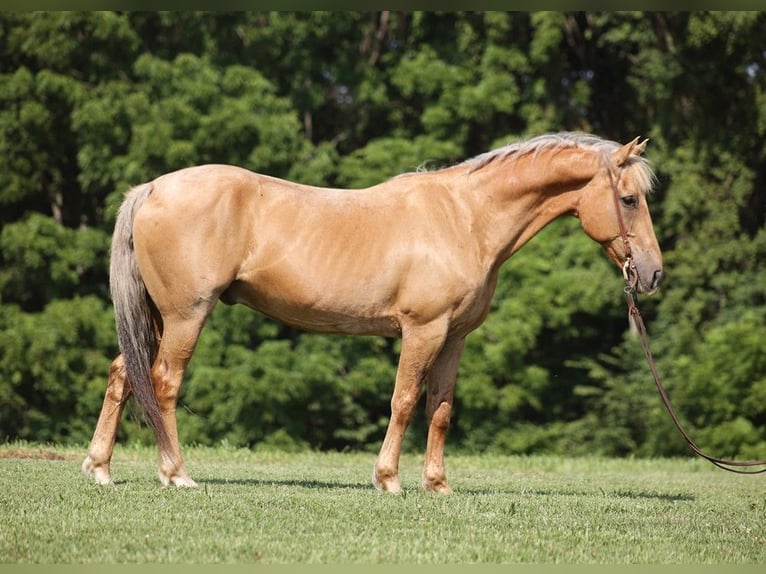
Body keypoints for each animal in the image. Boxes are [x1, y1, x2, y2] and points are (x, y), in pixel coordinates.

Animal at [81, 132, 664, 496]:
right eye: (629, 200)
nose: (653, 274)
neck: (465, 217)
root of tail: (151, 188)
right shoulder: (422, 330)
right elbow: (404, 401)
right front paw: (389, 479)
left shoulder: (454, 337)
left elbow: (440, 409)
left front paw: (438, 484)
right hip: (186, 316)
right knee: (163, 383)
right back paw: (176, 473)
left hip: (157, 317)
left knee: (123, 374)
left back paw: (99, 467)